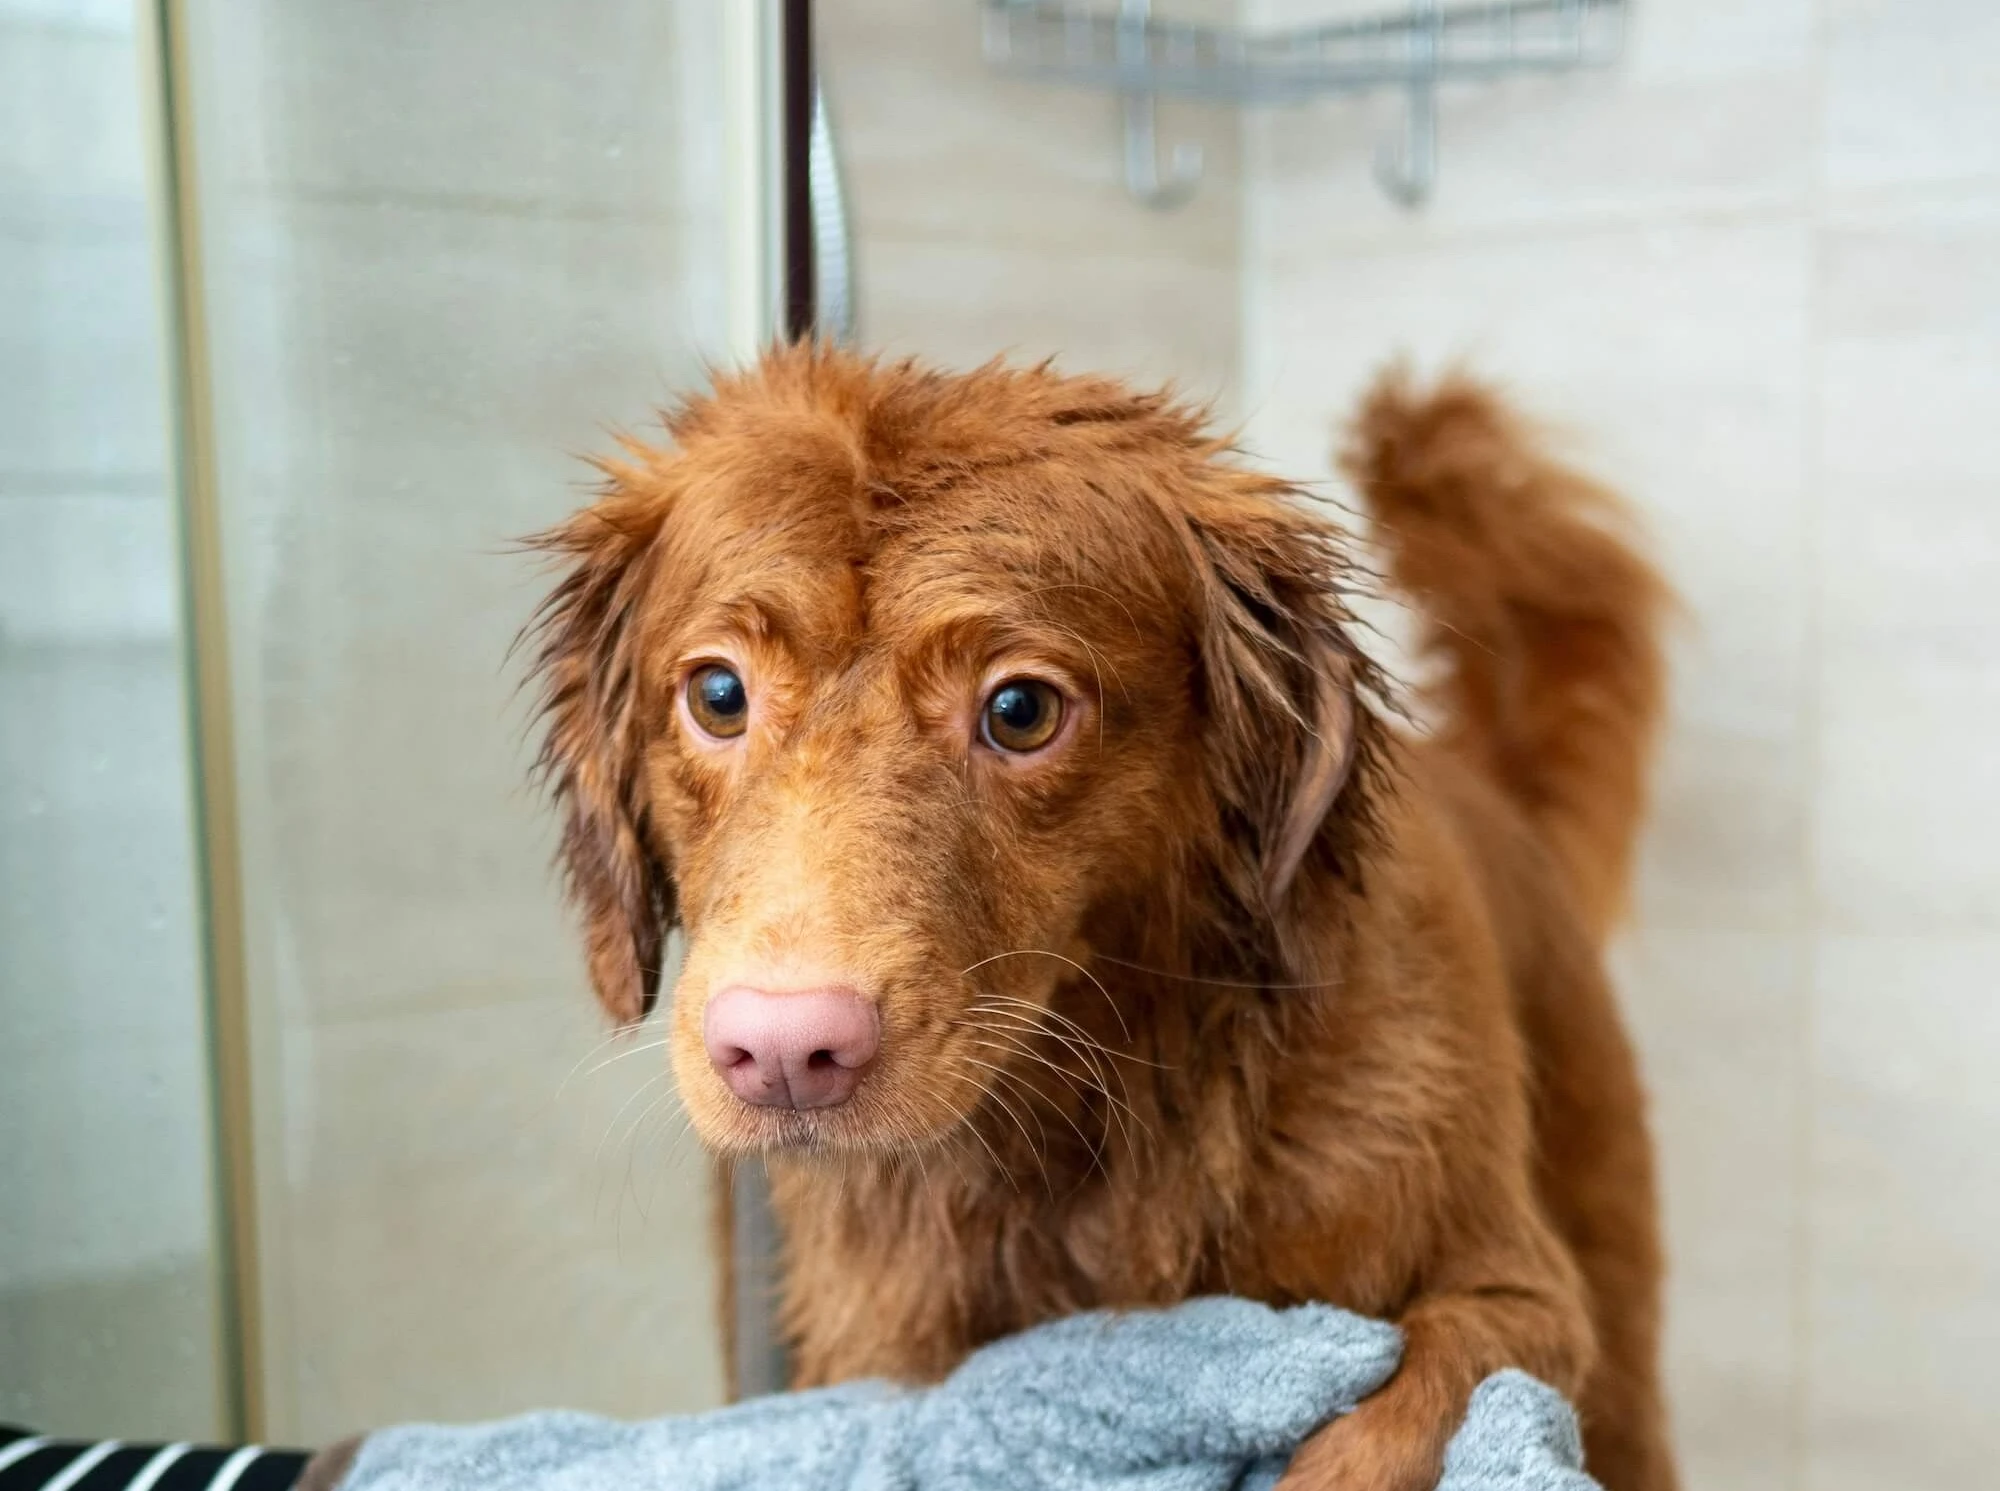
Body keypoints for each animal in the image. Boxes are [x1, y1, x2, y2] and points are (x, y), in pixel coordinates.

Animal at [523, 346, 1677, 1491]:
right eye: (718, 695)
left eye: (1019, 710)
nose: (782, 1050)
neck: (1076, 1143)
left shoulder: (1521, 1299)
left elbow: (1401, 1413)